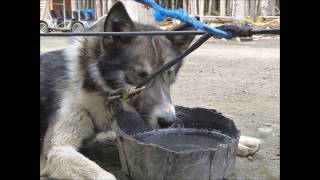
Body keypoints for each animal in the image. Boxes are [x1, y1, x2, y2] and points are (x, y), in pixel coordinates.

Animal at [40, 1, 260, 179]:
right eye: (140, 74)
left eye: (169, 73)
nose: (168, 121)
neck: (94, 80)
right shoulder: (56, 151)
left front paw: (242, 142)